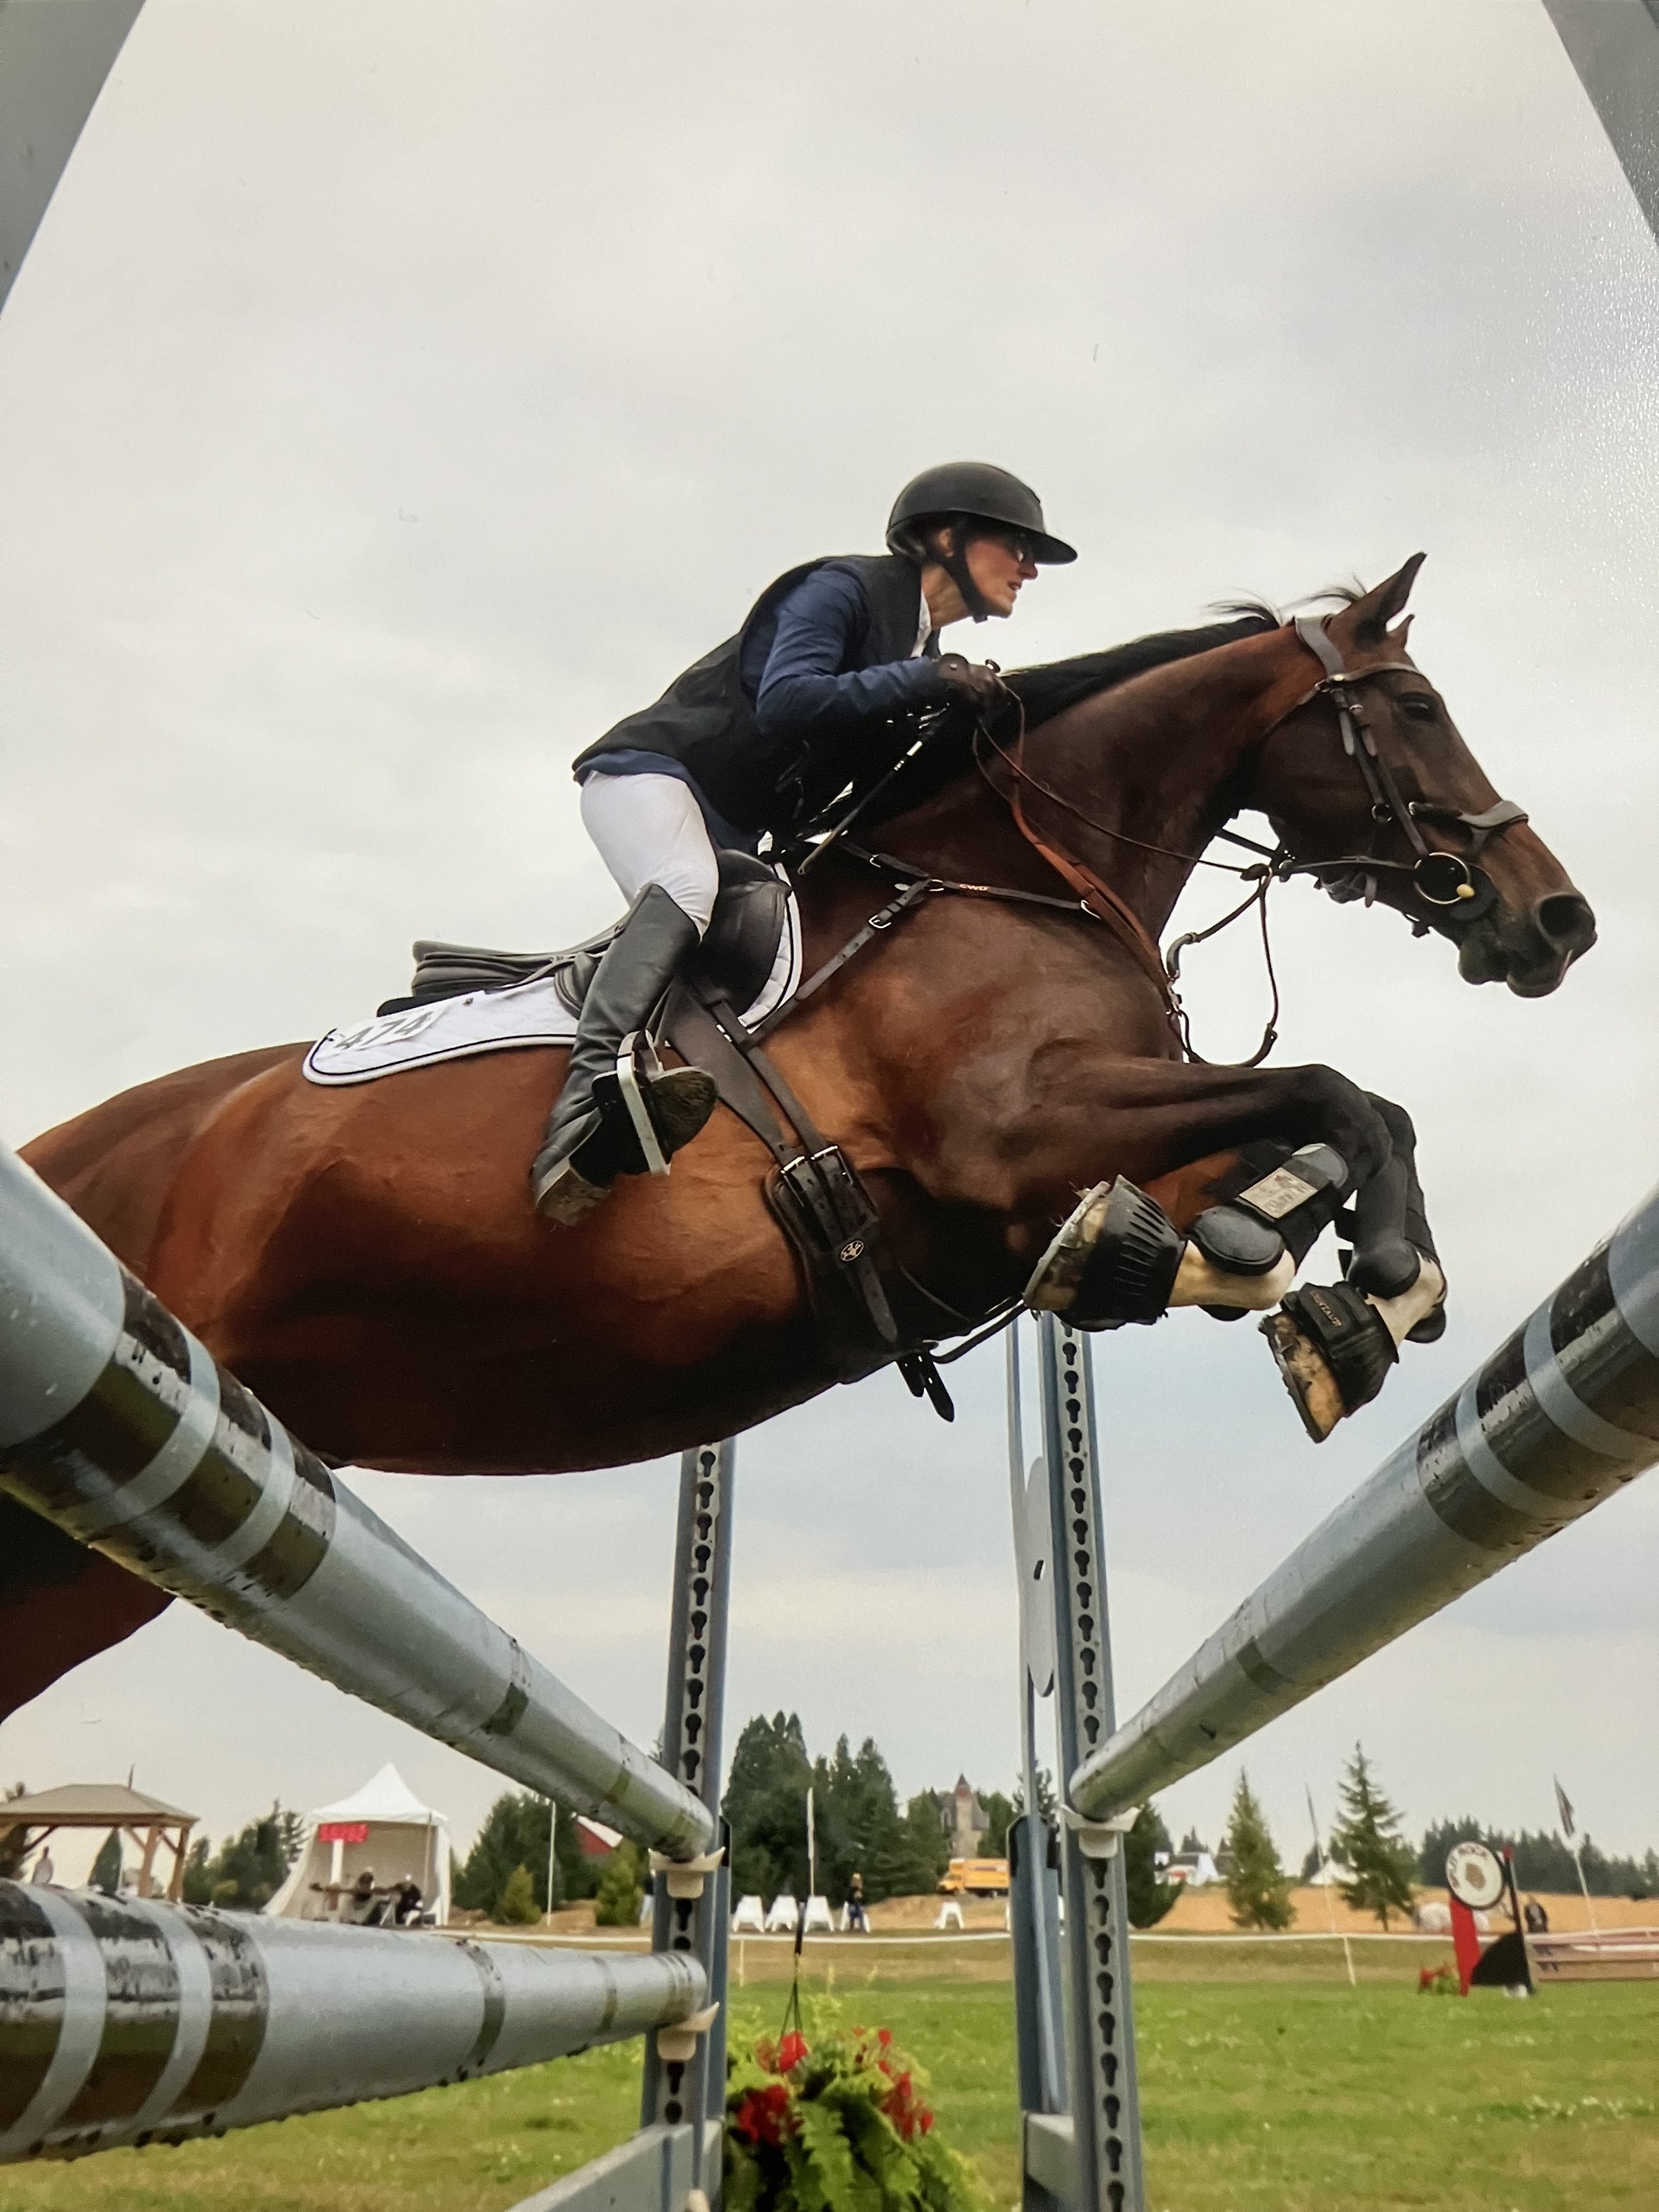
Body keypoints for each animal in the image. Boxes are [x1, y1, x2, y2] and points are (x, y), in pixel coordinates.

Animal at [1, 557, 1595, 1717]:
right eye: (1413, 704)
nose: (1558, 917)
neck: (1017, 877)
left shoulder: (1062, 1154)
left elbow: (1302, 1147)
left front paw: (1294, 1282)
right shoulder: (1012, 1137)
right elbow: (1336, 1090)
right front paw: (1380, 1272)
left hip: (93, 1553)